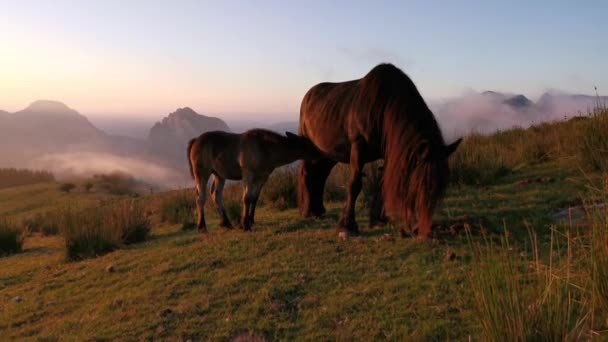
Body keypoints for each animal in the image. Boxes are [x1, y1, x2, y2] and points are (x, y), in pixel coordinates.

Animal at [188, 129, 320, 232]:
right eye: (307, 145)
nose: (320, 154)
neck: (265, 149)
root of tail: (195, 140)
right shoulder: (248, 174)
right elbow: (246, 198)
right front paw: (245, 224)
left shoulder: (262, 177)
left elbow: (254, 198)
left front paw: (249, 220)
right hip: (202, 173)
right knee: (200, 198)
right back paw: (202, 227)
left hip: (219, 175)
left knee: (216, 195)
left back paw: (226, 223)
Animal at [298, 64, 460, 240]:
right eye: (417, 184)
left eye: (439, 190)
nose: (422, 231)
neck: (383, 105)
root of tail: (308, 96)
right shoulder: (358, 146)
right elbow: (354, 184)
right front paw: (347, 226)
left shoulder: (388, 152)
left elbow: (382, 182)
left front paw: (378, 219)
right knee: (307, 174)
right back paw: (308, 211)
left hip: (328, 153)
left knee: (320, 176)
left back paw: (318, 210)